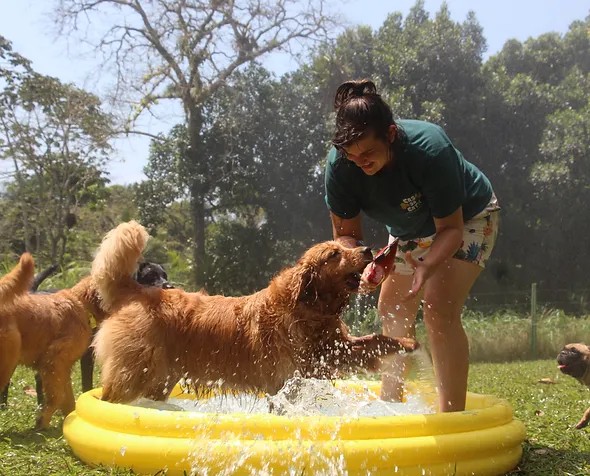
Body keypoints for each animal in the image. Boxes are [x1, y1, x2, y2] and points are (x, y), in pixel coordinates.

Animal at [91, 221, 420, 404]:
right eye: (334, 254)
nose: (367, 250)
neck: (308, 309)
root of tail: (137, 290)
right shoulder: (289, 378)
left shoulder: (332, 353)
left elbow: (376, 339)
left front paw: (406, 343)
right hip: (134, 373)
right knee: (110, 398)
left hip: (159, 378)